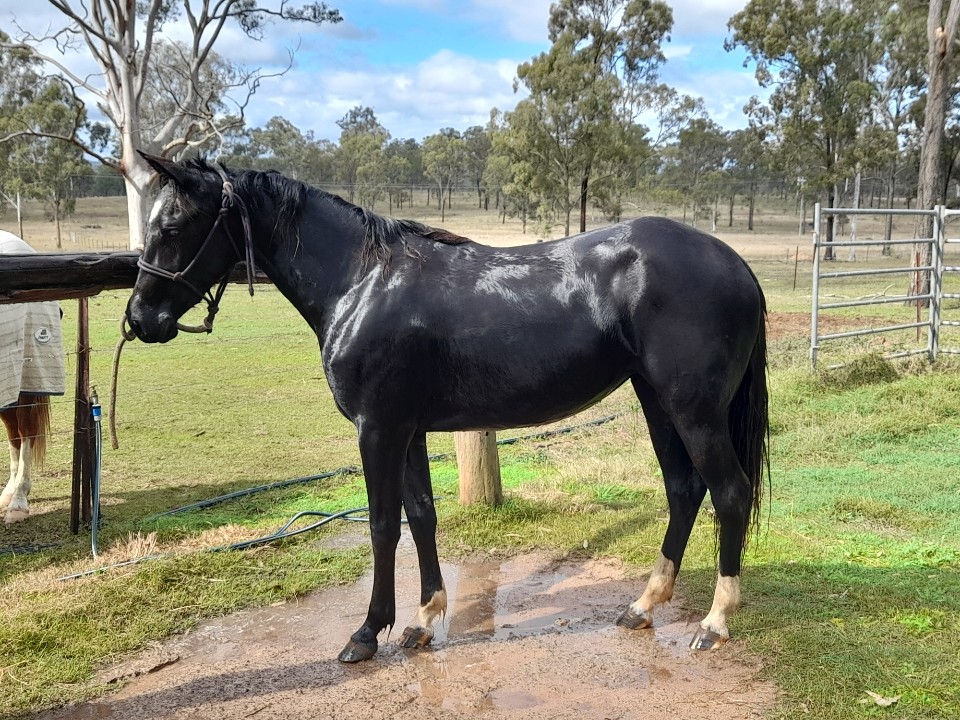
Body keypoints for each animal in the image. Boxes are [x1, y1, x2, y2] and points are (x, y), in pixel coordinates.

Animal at [125, 153, 769, 662]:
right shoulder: (407, 430)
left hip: (693, 409)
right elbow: (422, 516)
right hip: (656, 400)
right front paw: (422, 622)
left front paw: (367, 632)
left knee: (729, 492)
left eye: (174, 224)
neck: (361, 281)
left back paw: (714, 623)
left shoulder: (377, 429)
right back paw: (643, 605)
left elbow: (383, 526)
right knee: (684, 490)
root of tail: (735, 264)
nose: (138, 319)